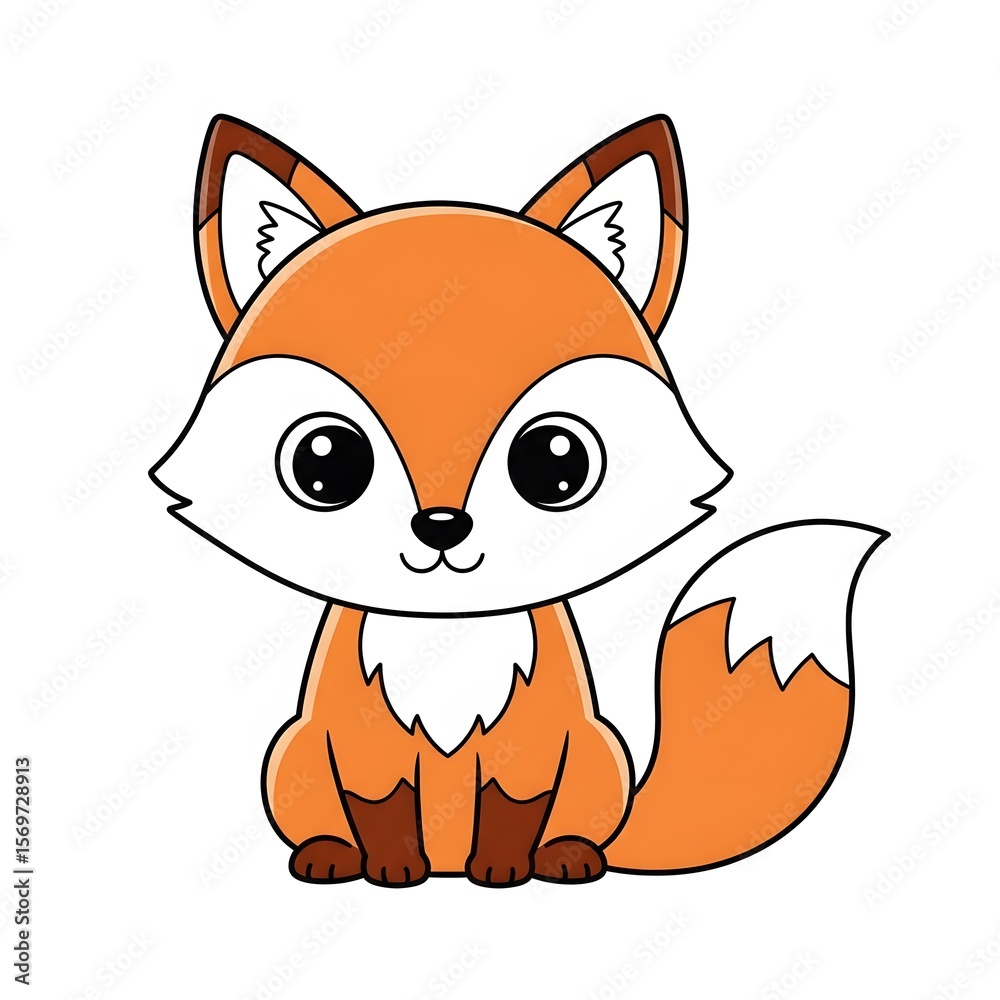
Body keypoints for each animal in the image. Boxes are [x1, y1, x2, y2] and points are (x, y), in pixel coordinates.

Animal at [151, 113, 885, 888]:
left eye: (557, 463)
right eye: (323, 464)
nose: (441, 526)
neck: (446, 635)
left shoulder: (532, 745)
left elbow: (512, 806)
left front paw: (504, 867)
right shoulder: (362, 748)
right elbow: (383, 807)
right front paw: (392, 866)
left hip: (597, 756)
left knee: (576, 824)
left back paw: (568, 856)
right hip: (292, 755)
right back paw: (331, 855)